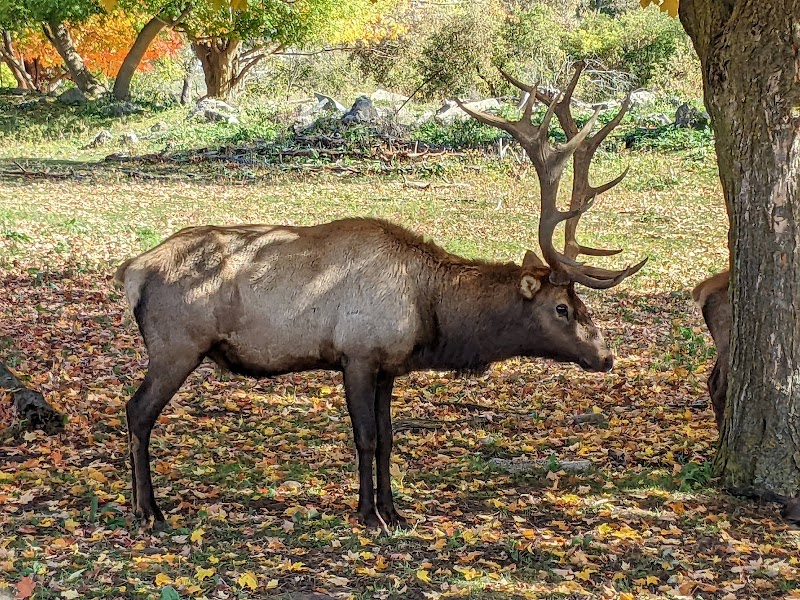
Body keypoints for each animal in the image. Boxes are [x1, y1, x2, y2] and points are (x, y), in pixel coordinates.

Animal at [114, 62, 645, 529]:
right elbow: (365, 438)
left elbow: (389, 439)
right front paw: (369, 515)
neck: (429, 312)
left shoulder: (390, 367)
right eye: (563, 308)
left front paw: (395, 511)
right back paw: (148, 511)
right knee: (137, 411)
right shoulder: (358, 354)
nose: (606, 356)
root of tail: (131, 271)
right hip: (176, 345)